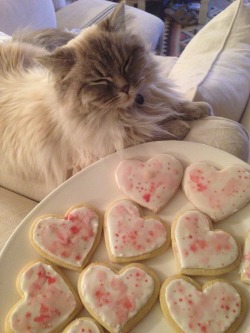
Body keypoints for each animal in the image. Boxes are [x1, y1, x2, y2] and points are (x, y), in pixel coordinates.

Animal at [0, 2, 212, 188]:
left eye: (126, 63)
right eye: (99, 80)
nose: (126, 88)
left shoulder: (153, 96)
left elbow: (176, 103)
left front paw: (199, 109)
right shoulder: (107, 148)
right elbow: (151, 132)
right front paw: (180, 126)